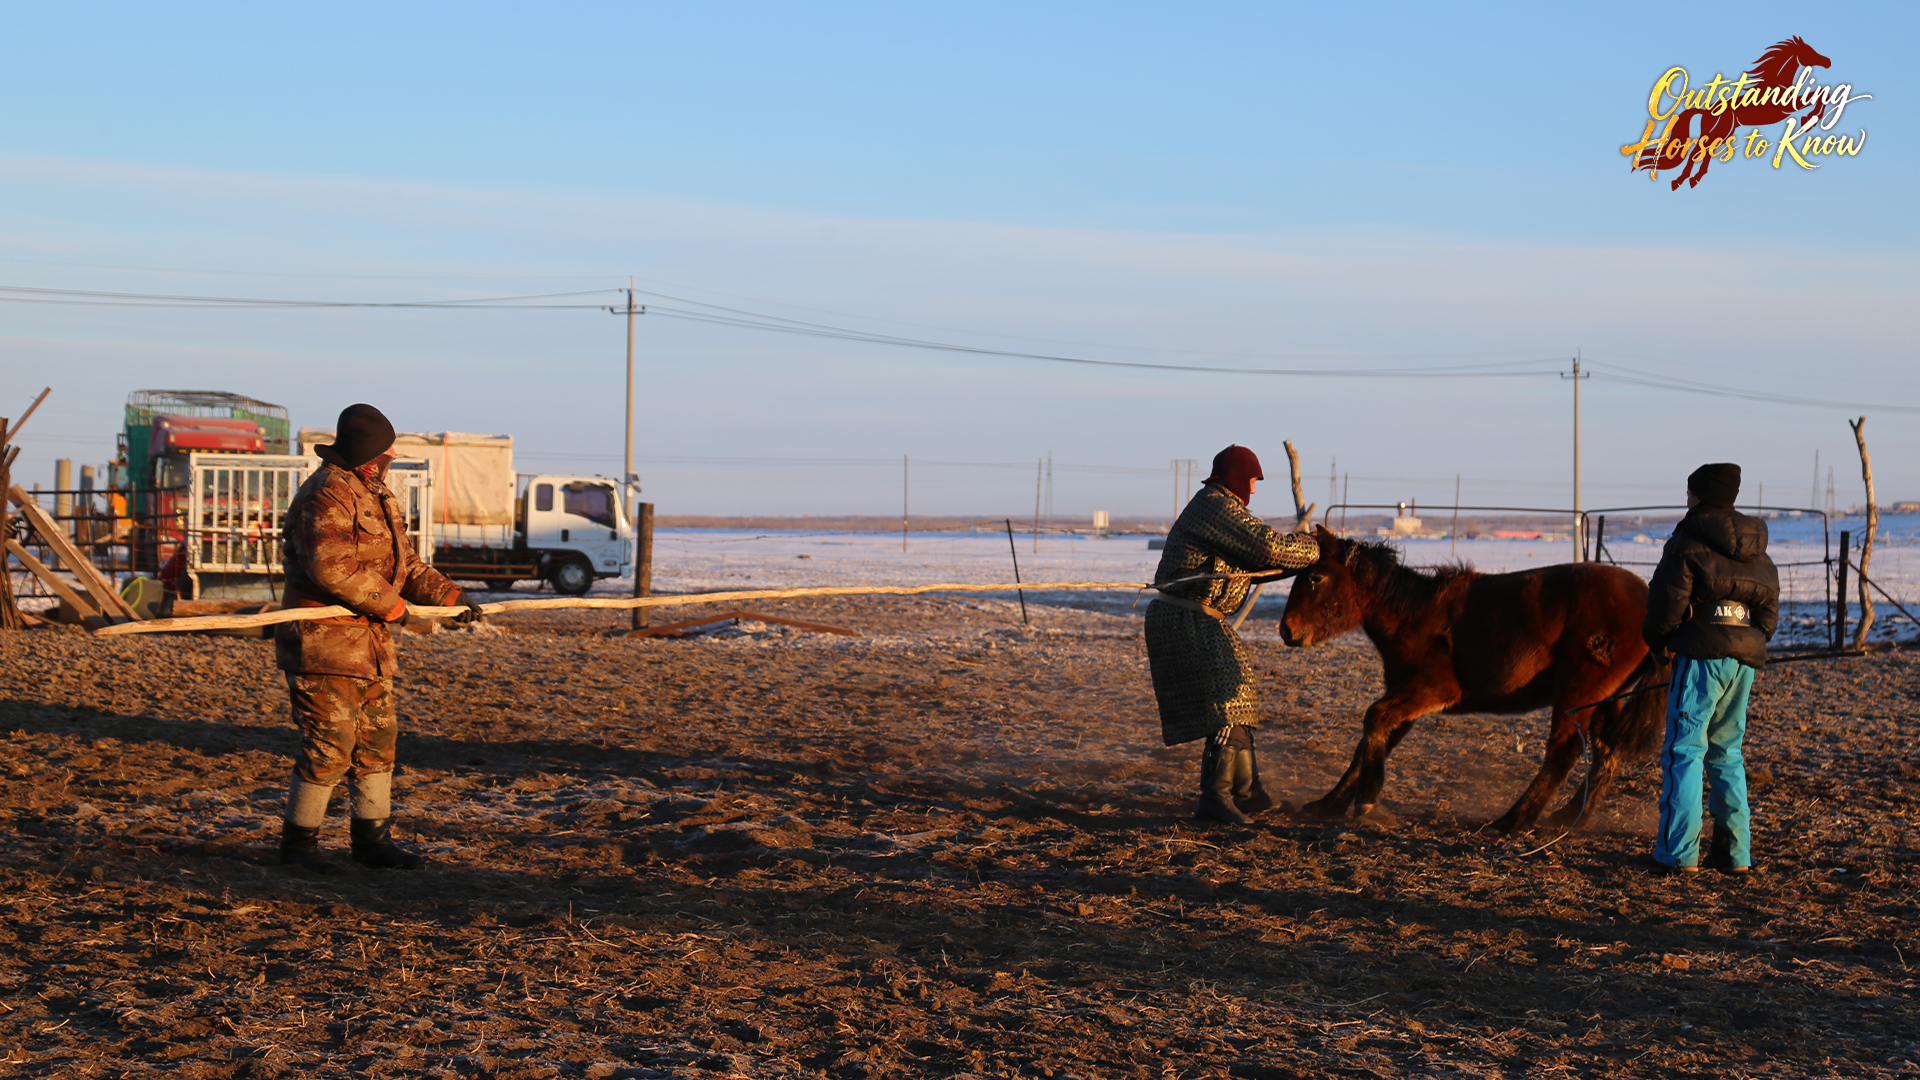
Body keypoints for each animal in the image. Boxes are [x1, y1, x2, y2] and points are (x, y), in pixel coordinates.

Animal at [1278, 526, 1669, 833]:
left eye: (1314, 578)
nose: (1286, 631)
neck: (1414, 616)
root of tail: (1649, 600)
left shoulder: (1432, 690)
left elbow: (1374, 720)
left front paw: (1366, 801)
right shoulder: (1407, 698)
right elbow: (1372, 740)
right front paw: (1330, 803)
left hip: (1579, 692)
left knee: (1565, 750)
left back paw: (1514, 820)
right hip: (1605, 698)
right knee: (1608, 751)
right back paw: (1570, 817)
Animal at [1635, 36, 1830, 190]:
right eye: (1808, 51)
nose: (1828, 61)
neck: (1776, 83)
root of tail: (1706, 111)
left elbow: (1820, 94)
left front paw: (1810, 118)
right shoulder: (1787, 107)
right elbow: (1818, 95)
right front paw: (1809, 119)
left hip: (1723, 133)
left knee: (1705, 152)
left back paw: (1694, 179)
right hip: (1717, 132)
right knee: (1696, 152)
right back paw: (1680, 181)